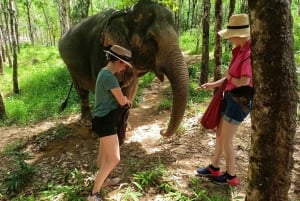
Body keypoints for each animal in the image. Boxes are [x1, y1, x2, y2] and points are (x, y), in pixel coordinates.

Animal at [58, 0, 189, 137]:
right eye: (152, 39)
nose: (161, 131)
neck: (126, 14)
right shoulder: (100, 53)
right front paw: (102, 132)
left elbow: (129, 91)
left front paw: (127, 127)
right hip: (70, 66)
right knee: (82, 91)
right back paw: (87, 121)